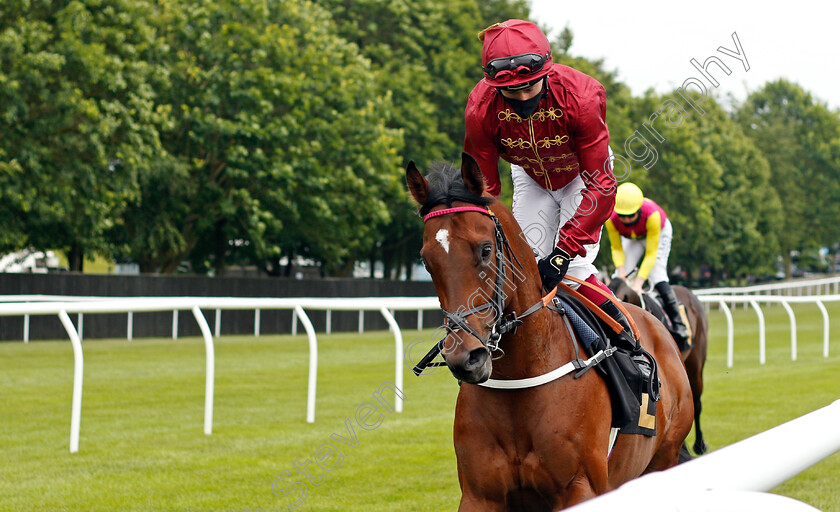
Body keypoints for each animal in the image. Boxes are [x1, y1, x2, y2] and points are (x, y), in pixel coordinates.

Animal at [404, 154, 692, 510]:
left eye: (485, 249)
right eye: (426, 260)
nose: (465, 357)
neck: (520, 377)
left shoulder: (580, 488)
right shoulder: (479, 495)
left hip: (663, 460)